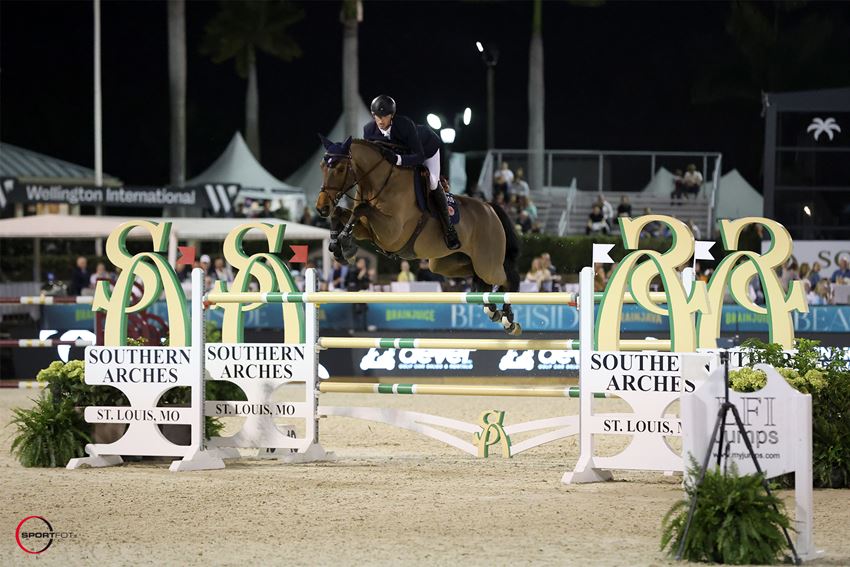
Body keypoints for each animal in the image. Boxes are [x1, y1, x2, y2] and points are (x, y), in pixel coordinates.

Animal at [314, 136, 520, 336]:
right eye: (322, 166)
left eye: (340, 169)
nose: (321, 208)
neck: (379, 185)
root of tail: (489, 208)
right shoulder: (369, 230)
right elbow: (342, 213)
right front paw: (338, 247)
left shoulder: (392, 232)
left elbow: (360, 208)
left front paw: (345, 245)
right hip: (446, 263)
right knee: (479, 279)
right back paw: (491, 308)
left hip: (487, 264)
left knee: (507, 278)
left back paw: (508, 319)